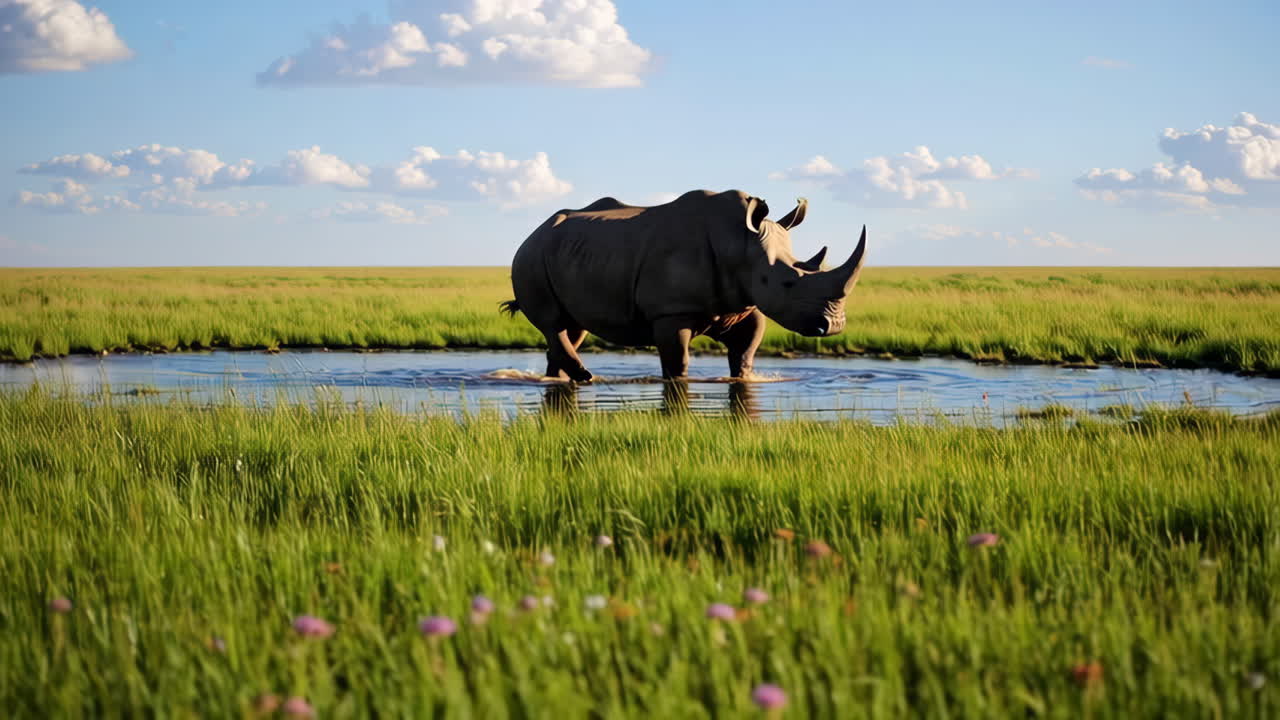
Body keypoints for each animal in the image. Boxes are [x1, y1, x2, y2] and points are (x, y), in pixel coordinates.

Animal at [500, 190, 867, 381]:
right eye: (788, 283)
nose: (834, 325)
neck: (740, 244)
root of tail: (533, 232)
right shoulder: (671, 313)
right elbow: (678, 361)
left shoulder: (741, 303)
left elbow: (746, 350)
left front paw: (742, 377)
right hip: (530, 257)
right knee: (554, 323)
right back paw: (587, 378)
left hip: (569, 254)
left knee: (572, 327)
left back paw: (561, 379)